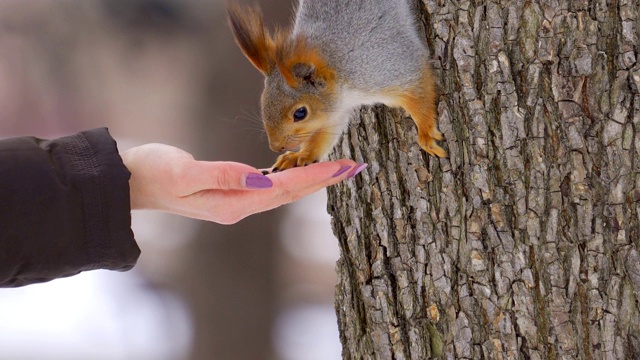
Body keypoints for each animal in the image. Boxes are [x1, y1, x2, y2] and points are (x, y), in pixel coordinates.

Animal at [229, 0, 444, 172]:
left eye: (300, 113)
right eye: (263, 103)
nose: (276, 147)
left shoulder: (389, 65)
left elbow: (419, 90)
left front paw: (426, 134)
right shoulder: (334, 110)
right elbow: (323, 134)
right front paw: (300, 156)